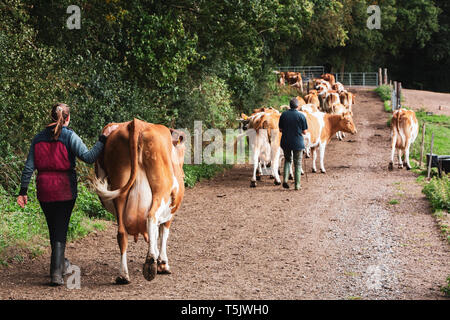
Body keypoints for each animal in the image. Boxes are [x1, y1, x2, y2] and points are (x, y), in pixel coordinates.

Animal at [93, 119, 186, 284]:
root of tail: (136, 123)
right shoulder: (171, 212)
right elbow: (163, 233)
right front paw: (163, 263)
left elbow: (155, 233)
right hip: (161, 190)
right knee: (151, 217)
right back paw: (150, 263)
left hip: (120, 189)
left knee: (121, 233)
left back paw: (123, 275)